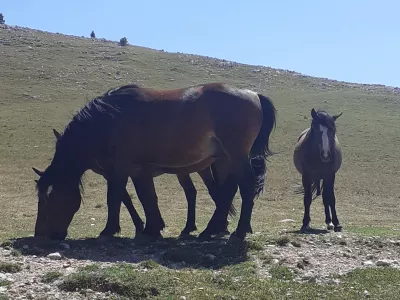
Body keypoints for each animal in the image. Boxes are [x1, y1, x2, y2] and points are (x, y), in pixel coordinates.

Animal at [32, 128, 238, 237]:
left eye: (50, 200)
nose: (40, 234)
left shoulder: (119, 171)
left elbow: (124, 196)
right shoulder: (115, 173)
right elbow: (128, 197)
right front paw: (145, 225)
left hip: (199, 169)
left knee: (213, 191)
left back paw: (220, 226)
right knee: (193, 192)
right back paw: (194, 227)